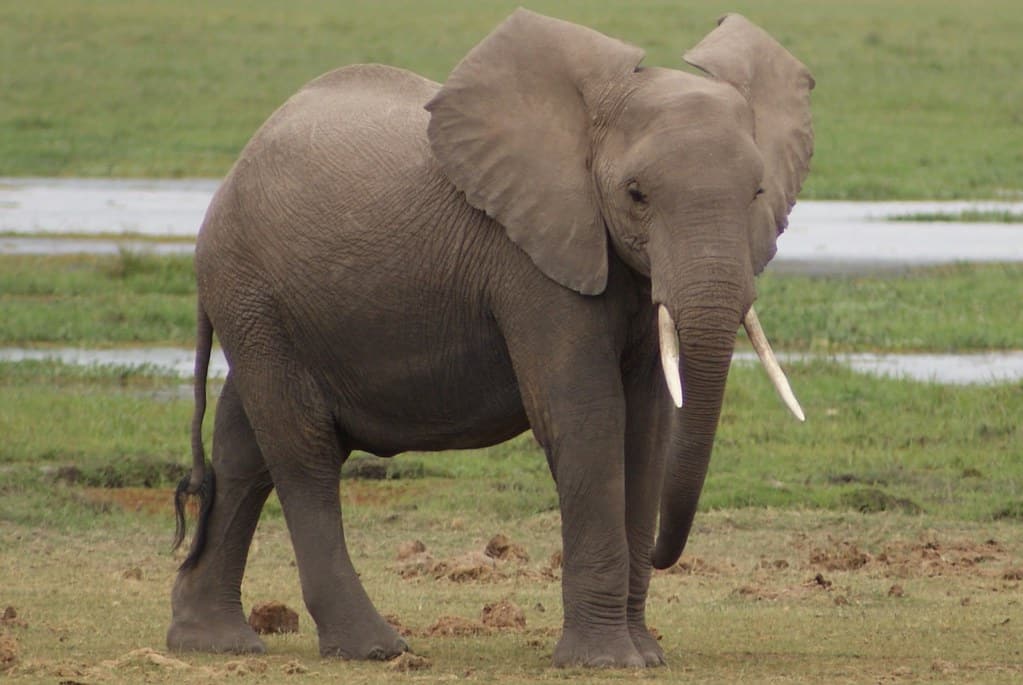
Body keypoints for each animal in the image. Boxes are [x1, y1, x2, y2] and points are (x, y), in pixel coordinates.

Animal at [167, 9, 813, 669]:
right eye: (636, 194)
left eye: (758, 194)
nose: (662, 552)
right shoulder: (529, 262)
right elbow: (587, 418)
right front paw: (605, 661)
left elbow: (648, 428)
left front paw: (647, 656)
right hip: (251, 291)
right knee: (303, 452)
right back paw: (373, 648)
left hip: (263, 309)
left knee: (242, 446)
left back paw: (213, 641)